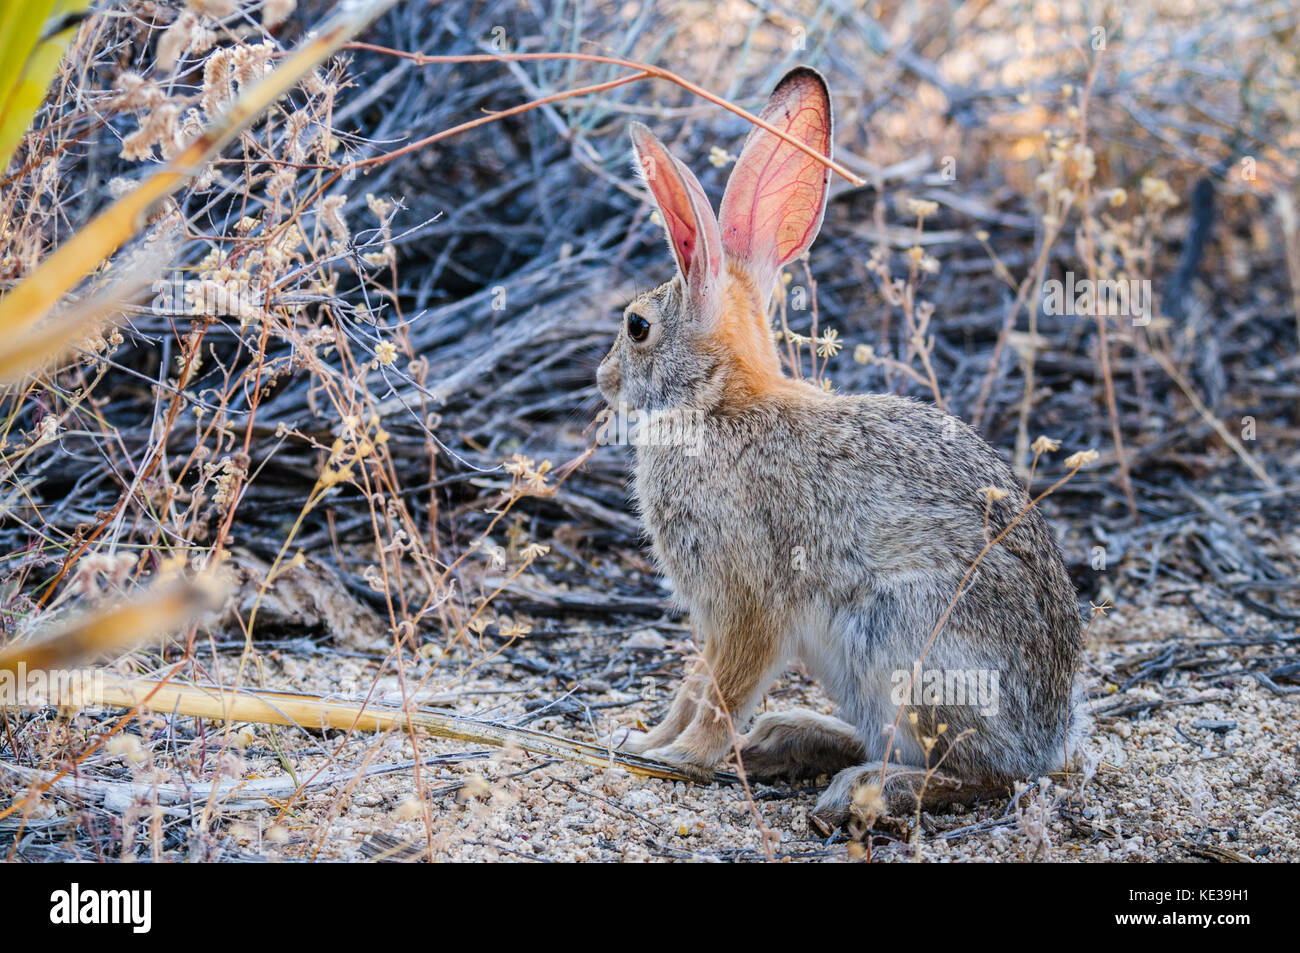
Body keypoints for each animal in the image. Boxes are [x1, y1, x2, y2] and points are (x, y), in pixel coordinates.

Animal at [596, 66, 1090, 828]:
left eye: (637, 326)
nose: (603, 378)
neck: (720, 404)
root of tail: (1050, 737)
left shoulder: (747, 599)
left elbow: (721, 689)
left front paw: (680, 755)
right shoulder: (714, 615)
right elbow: (693, 682)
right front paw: (643, 738)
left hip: (905, 648)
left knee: (982, 776)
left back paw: (858, 788)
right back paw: (788, 737)